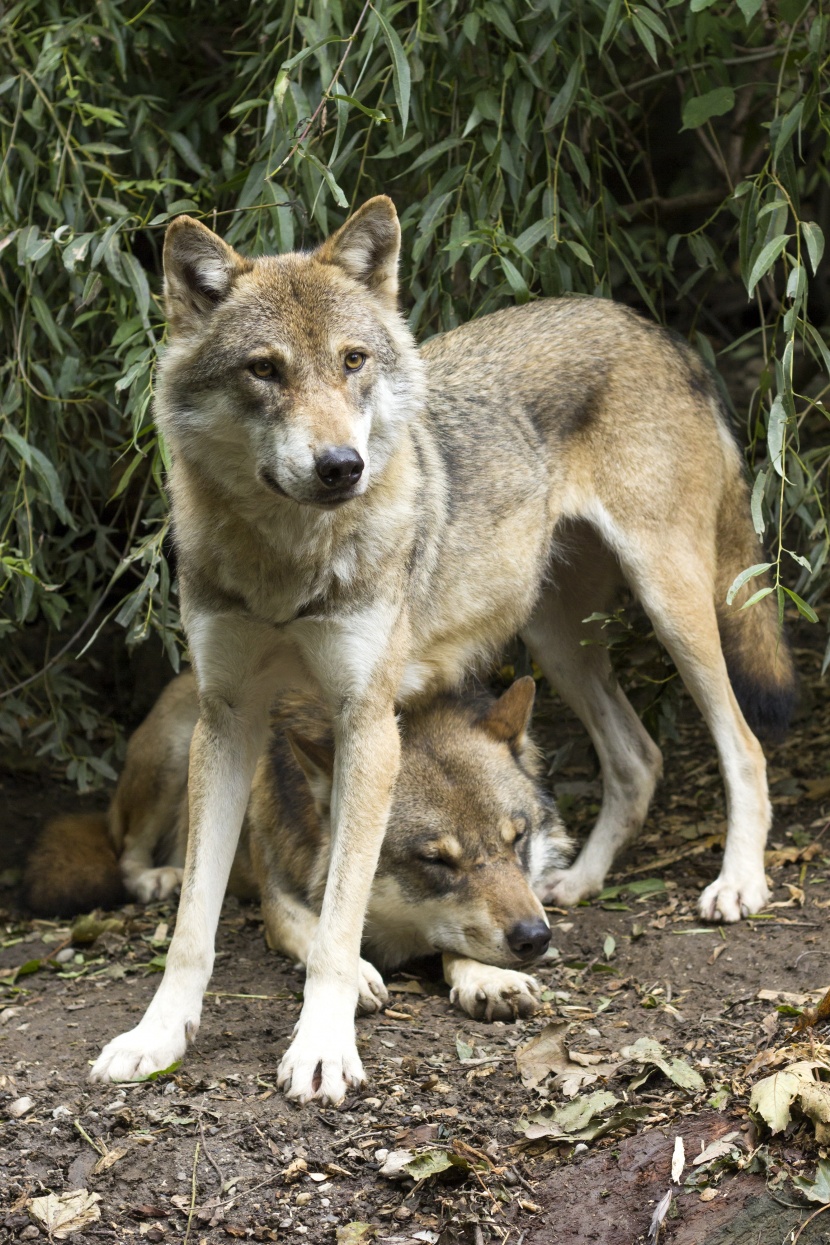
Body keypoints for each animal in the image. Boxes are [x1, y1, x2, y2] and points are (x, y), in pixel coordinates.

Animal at [27, 682, 572, 1020]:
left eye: (517, 839)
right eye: (436, 861)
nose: (534, 938)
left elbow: (453, 941)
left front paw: (489, 979)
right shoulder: (280, 906)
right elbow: (320, 933)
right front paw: (355, 974)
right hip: (183, 755)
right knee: (125, 850)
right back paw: (158, 877)